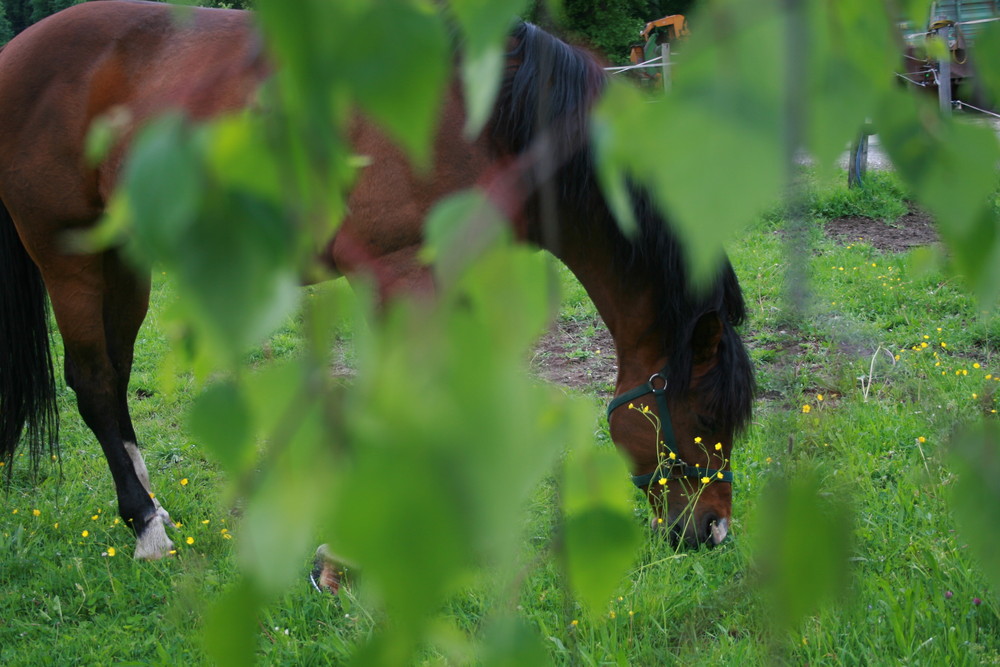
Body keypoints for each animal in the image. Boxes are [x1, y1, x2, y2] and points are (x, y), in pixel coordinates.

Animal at [0, 2, 752, 560]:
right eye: (706, 418)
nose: (713, 530)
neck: (487, 117)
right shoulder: (400, 275)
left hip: (123, 257)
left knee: (117, 373)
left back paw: (151, 506)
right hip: (68, 258)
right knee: (95, 382)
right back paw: (145, 529)